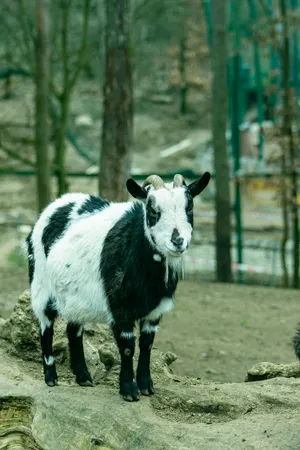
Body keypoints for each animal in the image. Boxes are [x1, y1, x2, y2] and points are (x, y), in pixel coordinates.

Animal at [25, 172, 210, 400]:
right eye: (152, 210)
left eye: (189, 208)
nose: (177, 241)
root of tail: (54, 205)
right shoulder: (120, 306)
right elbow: (128, 346)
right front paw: (129, 390)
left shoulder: (156, 310)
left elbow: (147, 344)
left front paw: (146, 386)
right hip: (41, 285)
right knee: (46, 326)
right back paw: (51, 377)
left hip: (75, 297)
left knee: (73, 330)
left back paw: (84, 377)